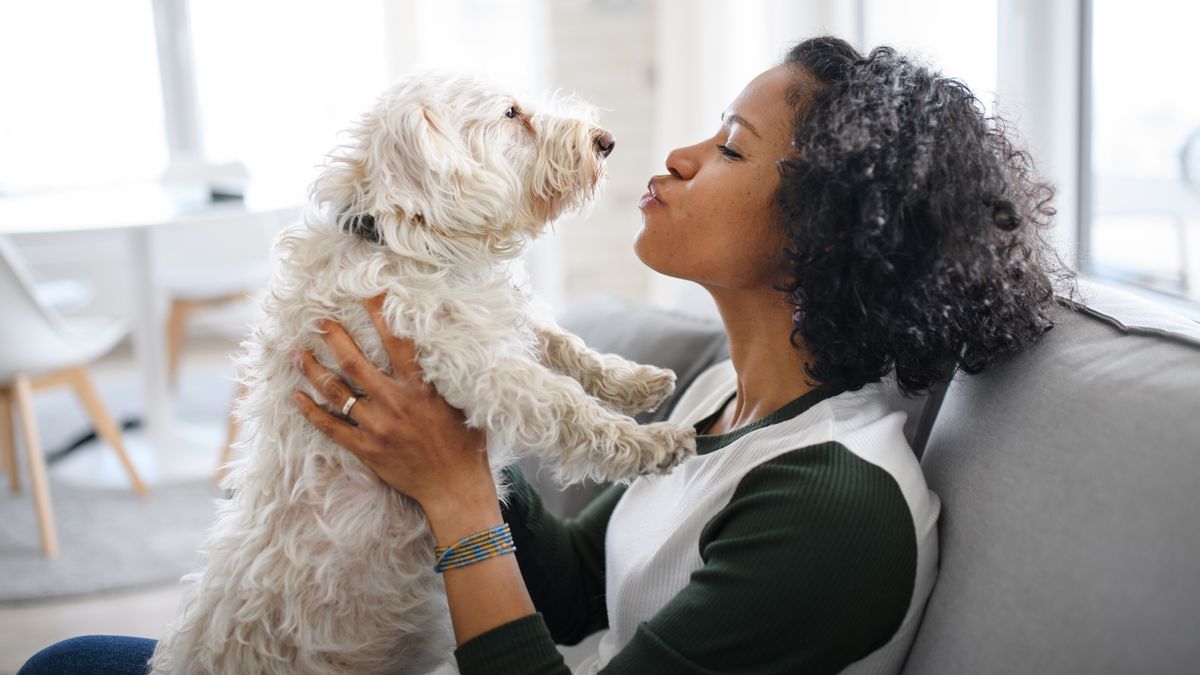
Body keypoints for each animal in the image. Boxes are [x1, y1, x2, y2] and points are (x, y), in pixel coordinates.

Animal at [147, 74, 696, 672]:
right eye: (512, 114)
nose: (606, 141)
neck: (401, 240)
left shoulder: (500, 322)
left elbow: (565, 344)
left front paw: (638, 381)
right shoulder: (477, 364)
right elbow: (567, 406)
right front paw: (655, 442)